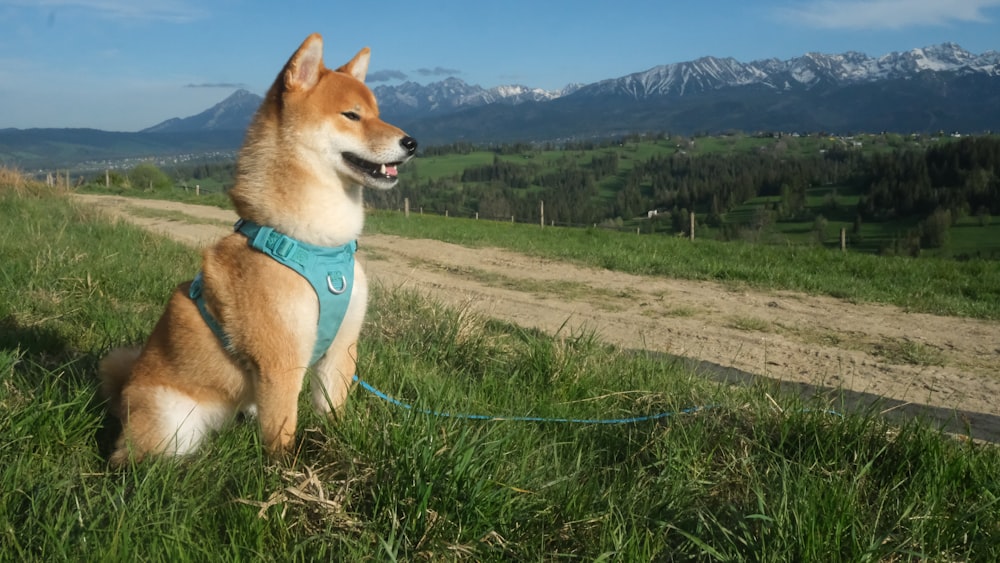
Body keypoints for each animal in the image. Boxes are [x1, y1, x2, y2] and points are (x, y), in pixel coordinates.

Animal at [96, 33, 414, 470]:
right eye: (352, 115)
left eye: (379, 114)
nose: (411, 142)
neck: (318, 245)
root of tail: (125, 391)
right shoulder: (280, 361)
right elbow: (282, 433)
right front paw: (288, 474)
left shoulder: (341, 350)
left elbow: (332, 413)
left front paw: (334, 449)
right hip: (170, 424)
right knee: (136, 460)